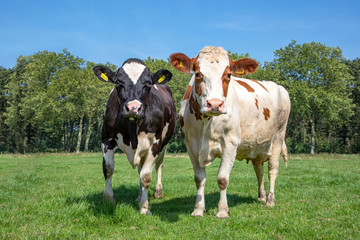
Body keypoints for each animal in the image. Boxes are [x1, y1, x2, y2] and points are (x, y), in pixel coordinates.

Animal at [93, 59, 176, 215]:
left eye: (148, 83)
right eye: (118, 82)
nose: (133, 108)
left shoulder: (155, 144)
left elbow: (146, 176)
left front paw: (144, 208)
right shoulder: (107, 139)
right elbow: (108, 168)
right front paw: (108, 200)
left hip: (164, 145)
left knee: (158, 166)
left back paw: (158, 192)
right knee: (140, 168)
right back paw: (139, 196)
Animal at [170, 46, 292, 218]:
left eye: (228, 75)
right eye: (198, 74)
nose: (215, 104)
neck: (206, 124)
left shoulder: (230, 143)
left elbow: (222, 178)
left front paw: (222, 211)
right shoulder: (191, 145)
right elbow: (199, 179)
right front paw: (198, 209)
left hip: (278, 137)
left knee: (272, 169)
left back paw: (270, 200)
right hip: (257, 144)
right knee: (259, 170)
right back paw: (261, 196)